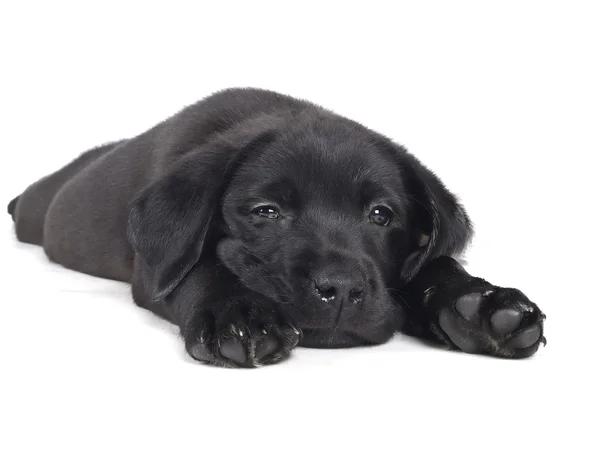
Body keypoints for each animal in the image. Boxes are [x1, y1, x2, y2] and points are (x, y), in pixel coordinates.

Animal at [8, 88, 544, 368]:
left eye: (380, 215)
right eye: (266, 212)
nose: (341, 288)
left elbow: (436, 263)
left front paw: (479, 304)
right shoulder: (154, 271)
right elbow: (201, 266)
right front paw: (237, 313)